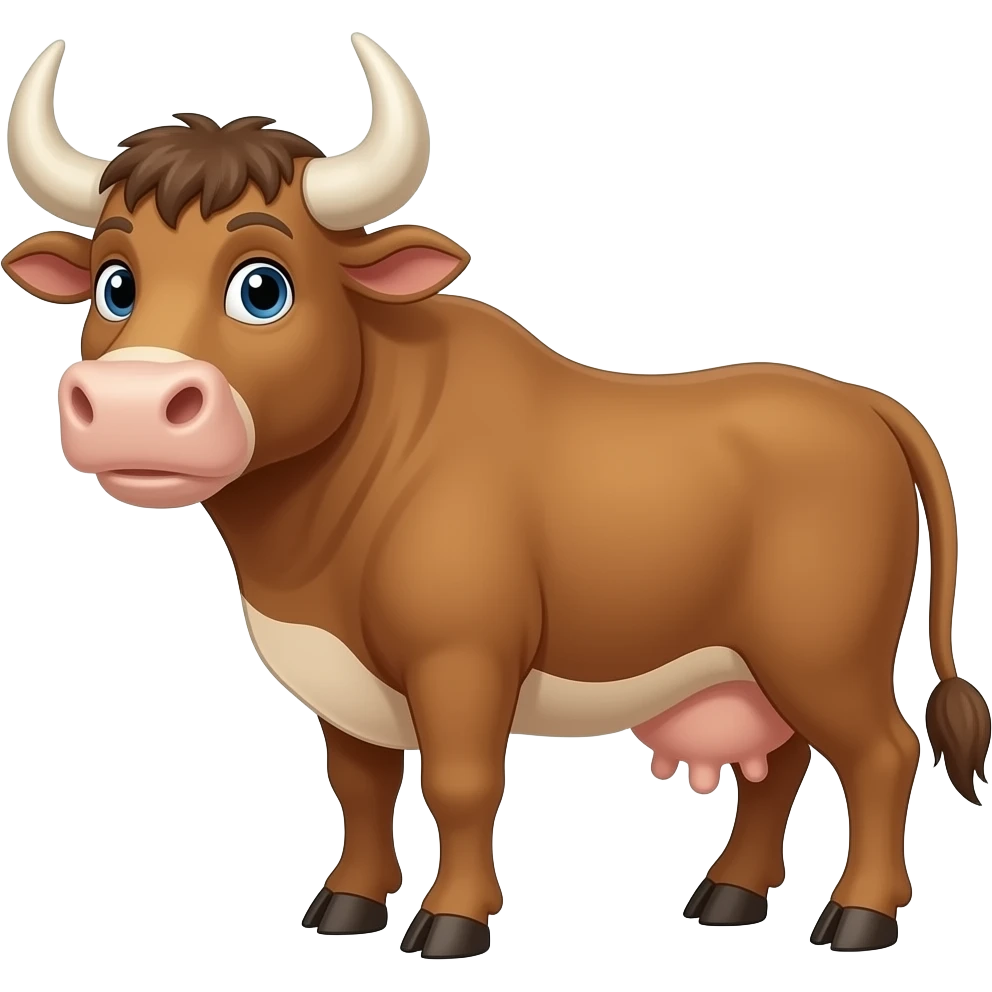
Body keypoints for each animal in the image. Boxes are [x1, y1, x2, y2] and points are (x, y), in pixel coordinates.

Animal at [5, 33, 988, 961]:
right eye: (115, 284)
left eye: (262, 287)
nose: (130, 406)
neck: (316, 541)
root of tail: (857, 400)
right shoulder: (342, 681)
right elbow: (360, 785)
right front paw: (349, 904)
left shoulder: (464, 657)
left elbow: (461, 783)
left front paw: (451, 921)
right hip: (749, 662)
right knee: (778, 765)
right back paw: (730, 896)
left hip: (825, 653)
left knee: (882, 753)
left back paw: (859, 916)